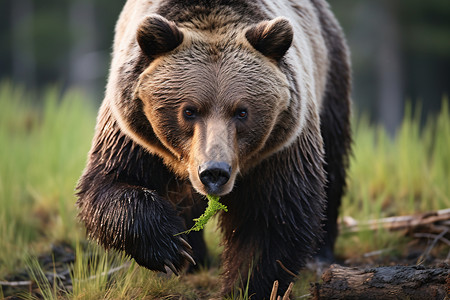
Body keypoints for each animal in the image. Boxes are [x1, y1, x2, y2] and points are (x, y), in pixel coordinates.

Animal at [76, 0, 352, 296]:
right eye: (189, 110)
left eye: (242, 112)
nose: (214, 172)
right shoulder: (134, 134)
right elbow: (110, 184)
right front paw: (171, 247)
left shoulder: (280, 147)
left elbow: (274, 217)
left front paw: (245, 286)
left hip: (330, 75)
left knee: (333, 163)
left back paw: (321, 255)